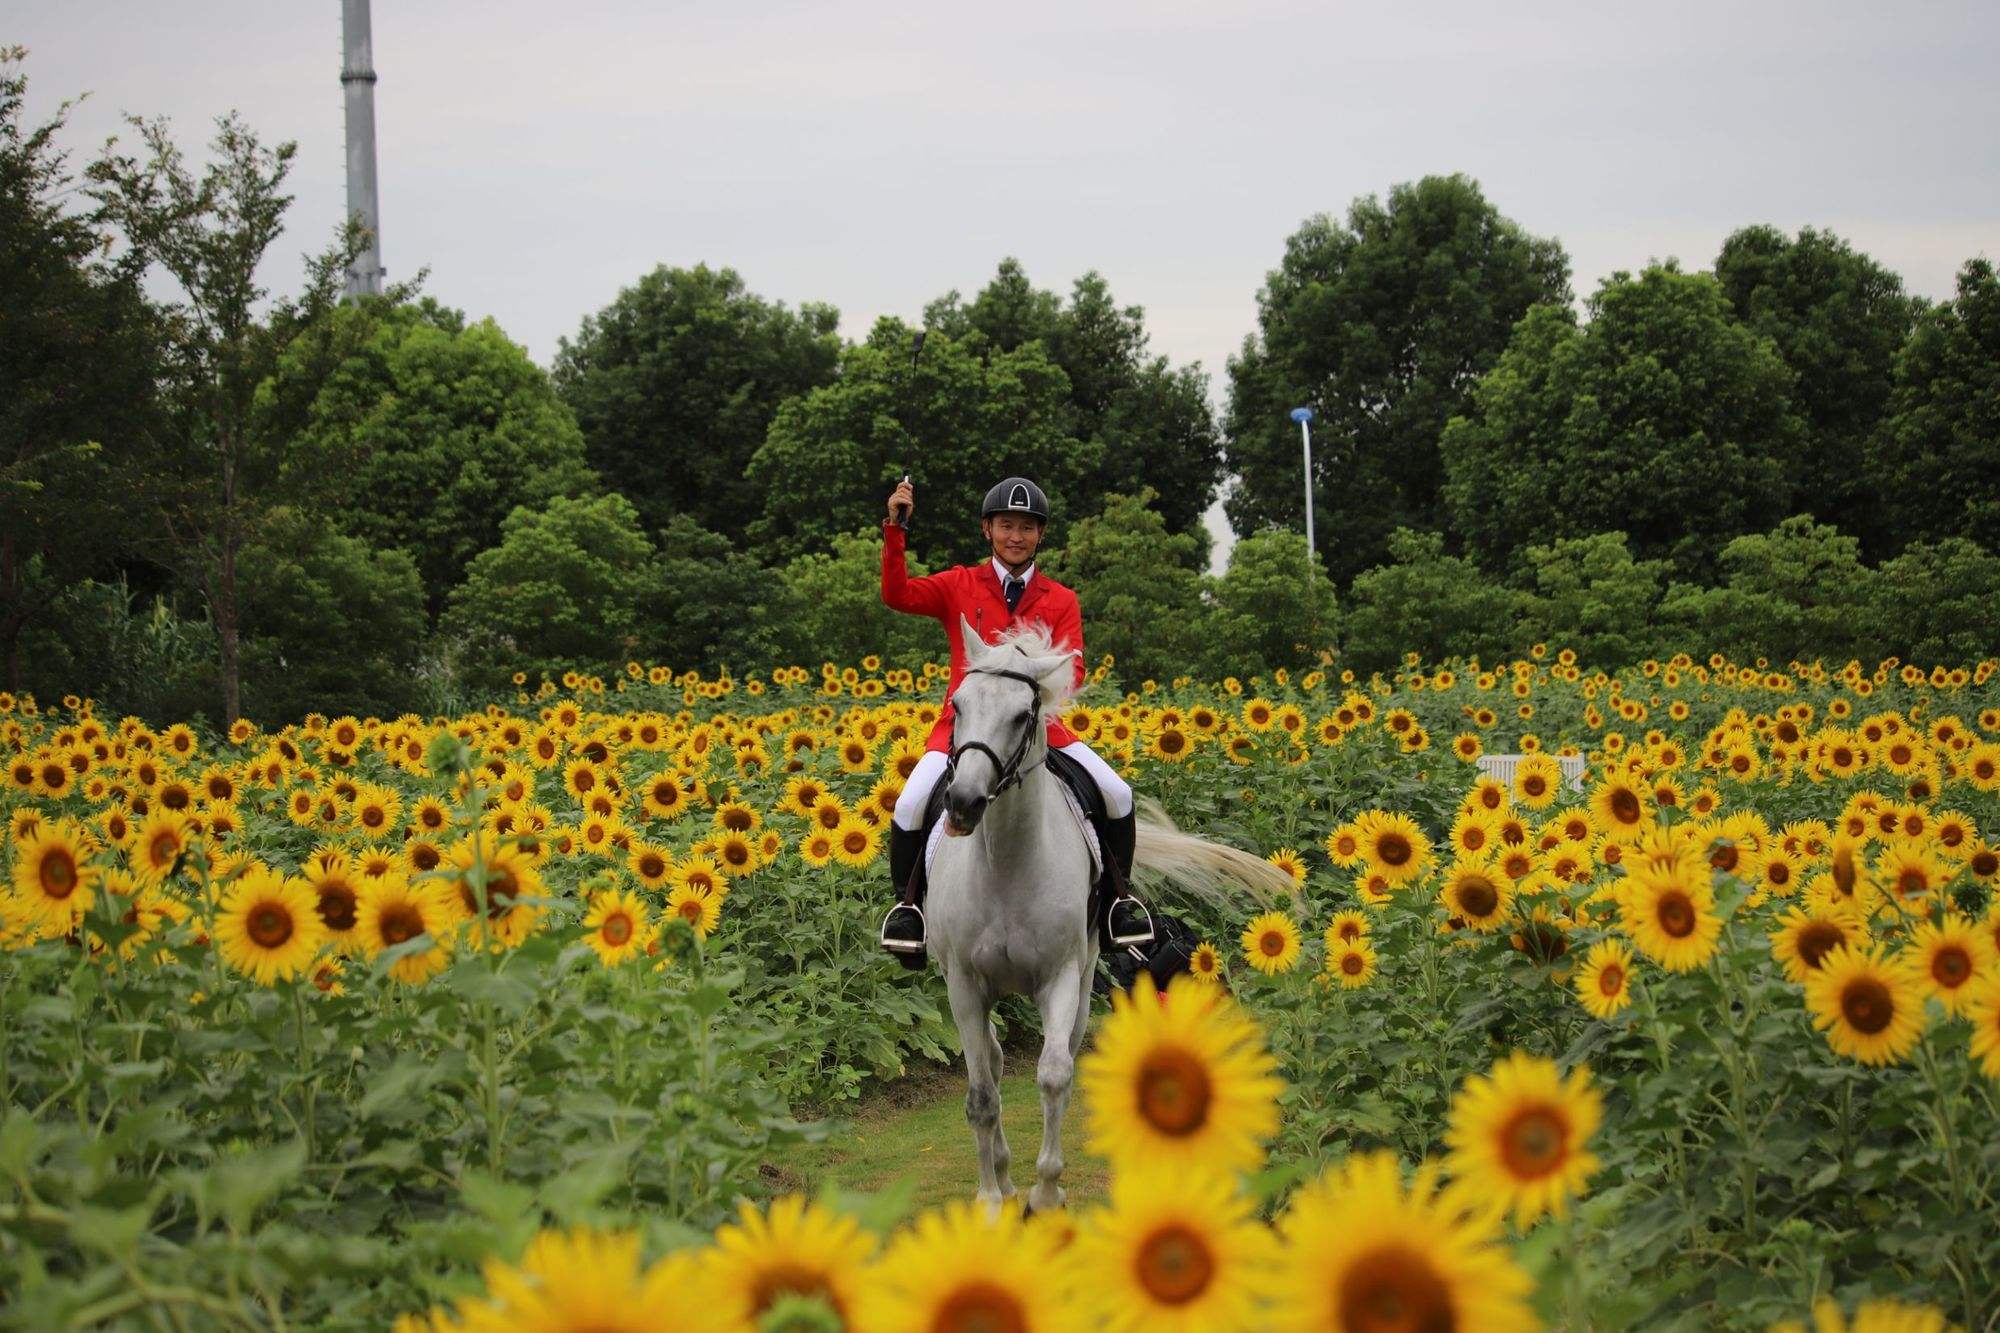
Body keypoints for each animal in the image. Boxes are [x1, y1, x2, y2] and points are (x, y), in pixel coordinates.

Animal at [924, 612, 1288, 1200]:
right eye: (957, 705)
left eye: (1023, 715)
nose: (963, 803)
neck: (1005, 862)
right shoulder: (962, 982)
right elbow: (980, 1096)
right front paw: (991, 1200)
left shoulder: (1062, 976)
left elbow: (1054, 1075)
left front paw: (1045, 1194)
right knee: (994, 1065)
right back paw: (1001, 1172)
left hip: (1086, 970)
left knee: (1057, 1056)